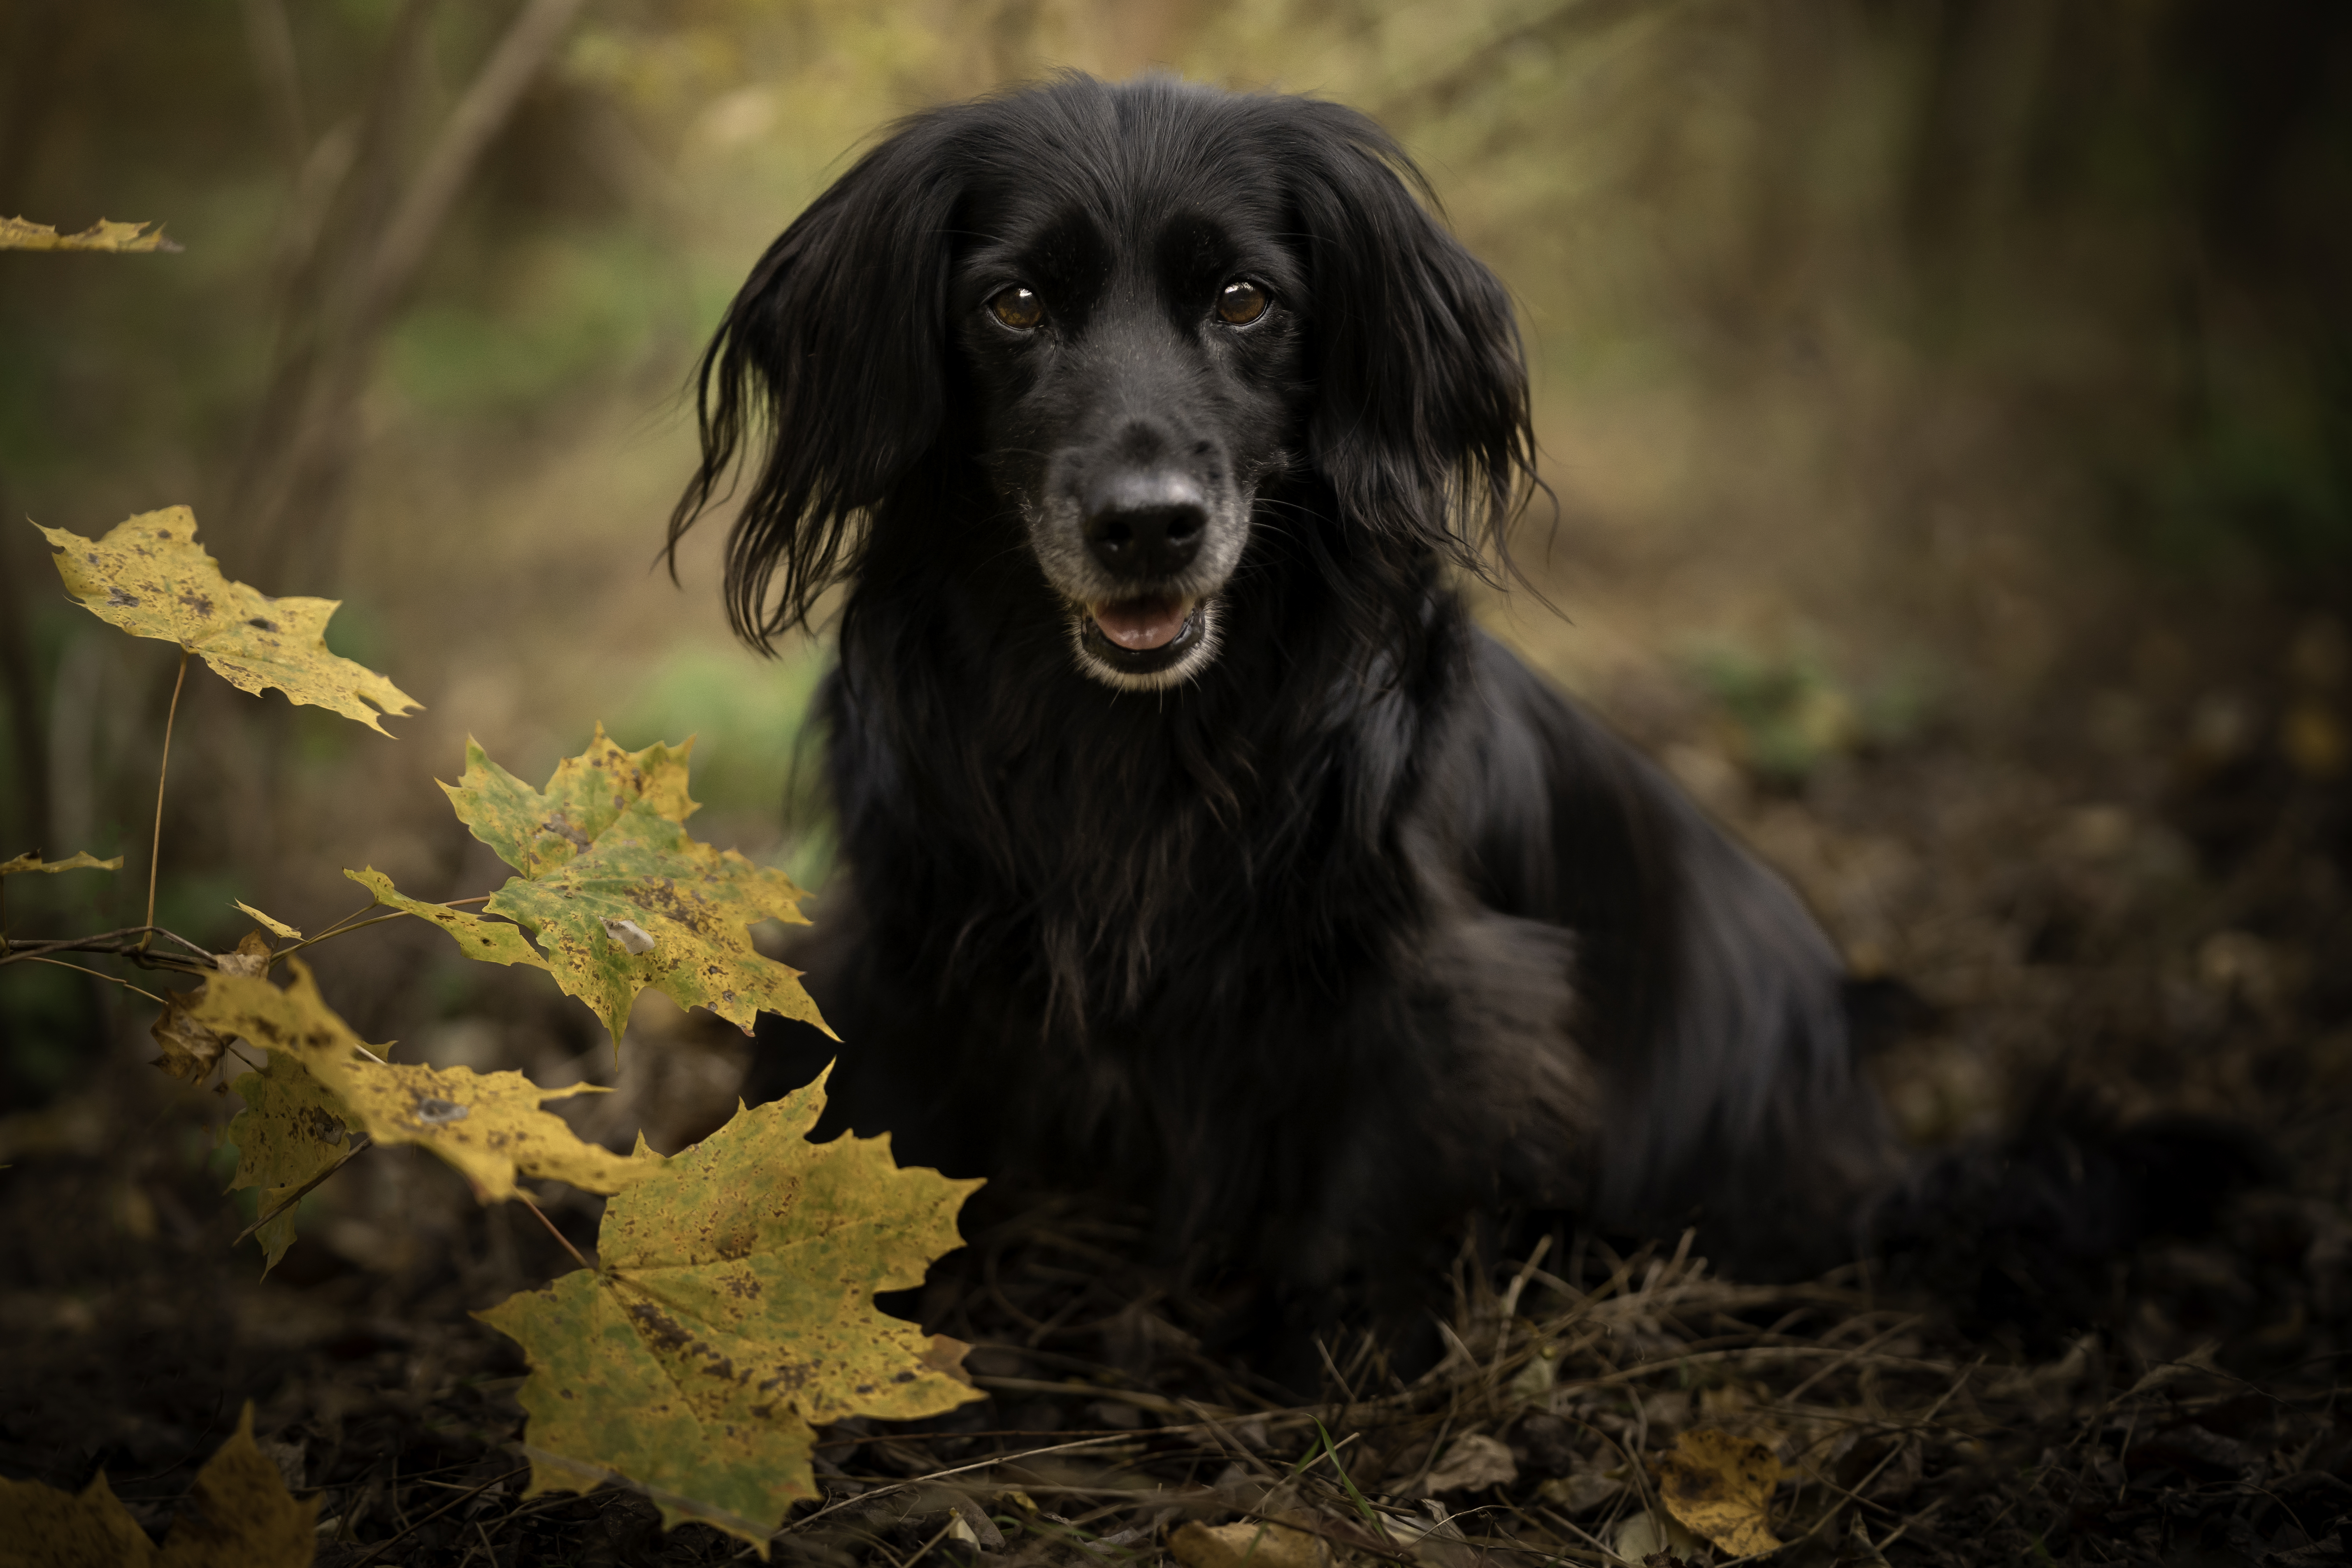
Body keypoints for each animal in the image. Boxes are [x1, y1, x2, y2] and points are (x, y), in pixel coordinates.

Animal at [668, 70, 2220, 1354]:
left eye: (1244, 300)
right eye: (1014, 305)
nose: (1149, 528)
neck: (1126, 724)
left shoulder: (1426, 978)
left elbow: (1370, 1174)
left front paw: (1327, 1354)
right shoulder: (910, 927)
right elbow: (880, 1115)